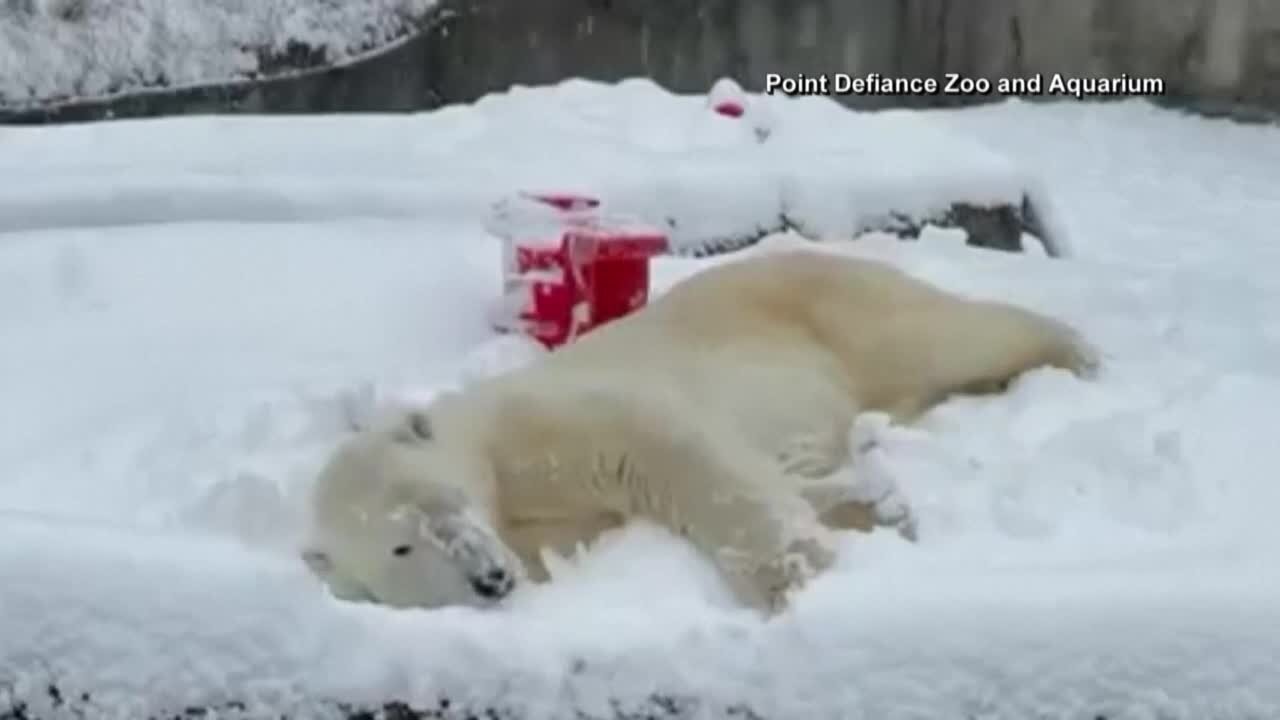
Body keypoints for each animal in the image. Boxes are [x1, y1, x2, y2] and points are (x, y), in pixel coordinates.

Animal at [296, 245, 1090, 609]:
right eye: (400, 547)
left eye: (447, 500)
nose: (489, 579)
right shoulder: (541, 529)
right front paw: (874, 513)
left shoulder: (555, 416)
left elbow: (670, 450)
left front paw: (801, 577)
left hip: (830, 303)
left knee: (945, 334)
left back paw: (1072, 353)